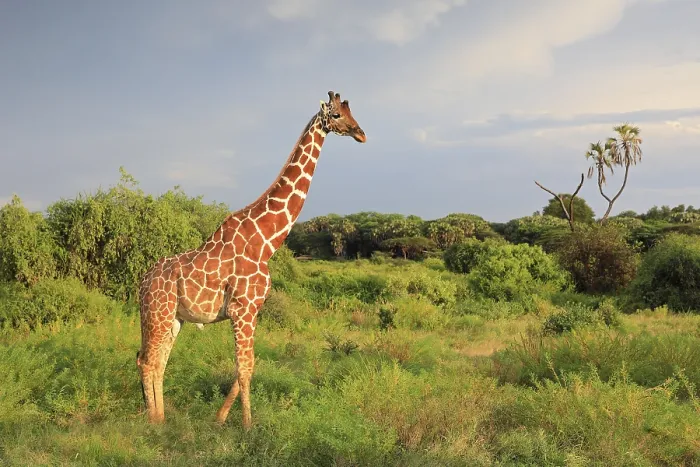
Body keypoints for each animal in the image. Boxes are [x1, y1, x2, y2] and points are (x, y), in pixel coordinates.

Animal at [136, 90, 366, 429]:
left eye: (351, 112)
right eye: (336, 115)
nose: (361, 133)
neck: (266, 242)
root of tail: (142, 281)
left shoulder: (253, 310)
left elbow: (247, 366)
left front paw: (220, 418)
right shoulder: (242, 309)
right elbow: (245, 368)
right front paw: (247, 427)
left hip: (173, 317)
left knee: (157, 359)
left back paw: (161, 417)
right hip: (158, 312)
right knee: (148, 360)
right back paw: (152, 421)